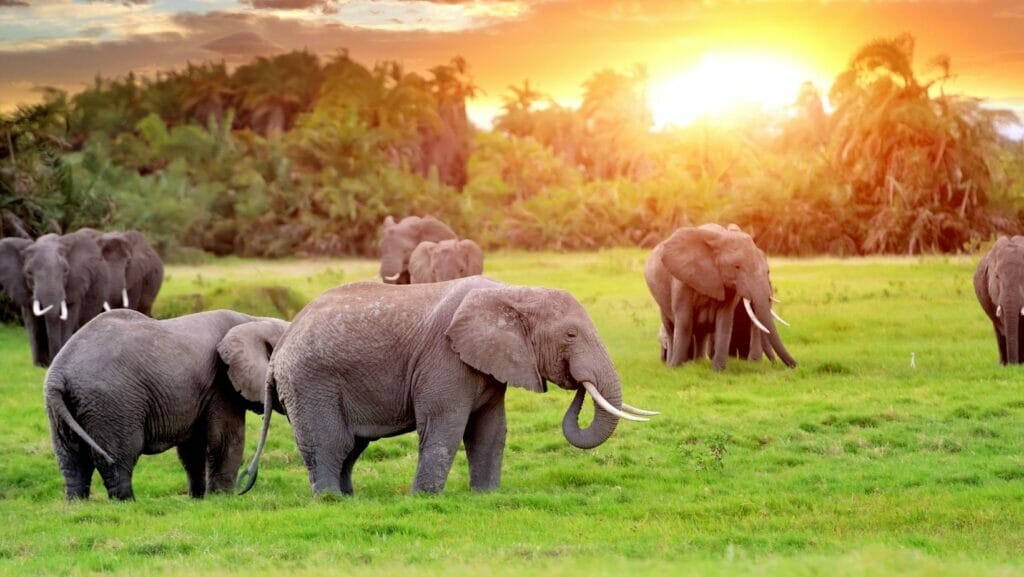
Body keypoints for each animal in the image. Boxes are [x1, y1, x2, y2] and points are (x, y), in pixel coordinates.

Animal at [0, 229, 109, 367]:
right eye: (29, 273)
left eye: (66, 271)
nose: (51, 361)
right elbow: (33, 324)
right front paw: (39, 365)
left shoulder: (75, 284)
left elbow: (67, 319)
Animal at [44, 309, 289, 501]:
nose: (244, 487)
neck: (253, 320)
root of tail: (58, 375)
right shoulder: (221, 385)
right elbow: (226, 441)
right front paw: (222, 499)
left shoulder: (202, 391)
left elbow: (193, 448)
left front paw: (198, 499)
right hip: (112, 404)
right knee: (117, 457)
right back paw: (127, 503)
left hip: (61, 410)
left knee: (71, 460)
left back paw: (77, 504)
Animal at [238, 276, 657, 497]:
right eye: (570, 335)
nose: (579, 385)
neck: (513, 292)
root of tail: (279, 350)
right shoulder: (445, 360)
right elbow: (446, 427)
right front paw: (423, 499)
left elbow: (490, 432)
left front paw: (485, 496)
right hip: (310, 382)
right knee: (331, 442)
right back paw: (330, 501)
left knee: (351, 446)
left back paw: (349, 499)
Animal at [644, 224, 796, 371]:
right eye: (736, 267)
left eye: (768, 271)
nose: (795, 365)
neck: (721, 237)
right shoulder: (682, 279)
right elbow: (685, 320)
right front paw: (677, 368)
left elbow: (725, 320)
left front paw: (717, 370)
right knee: (670, 327)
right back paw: (671, 364)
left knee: (701, 333)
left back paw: (699, 363)